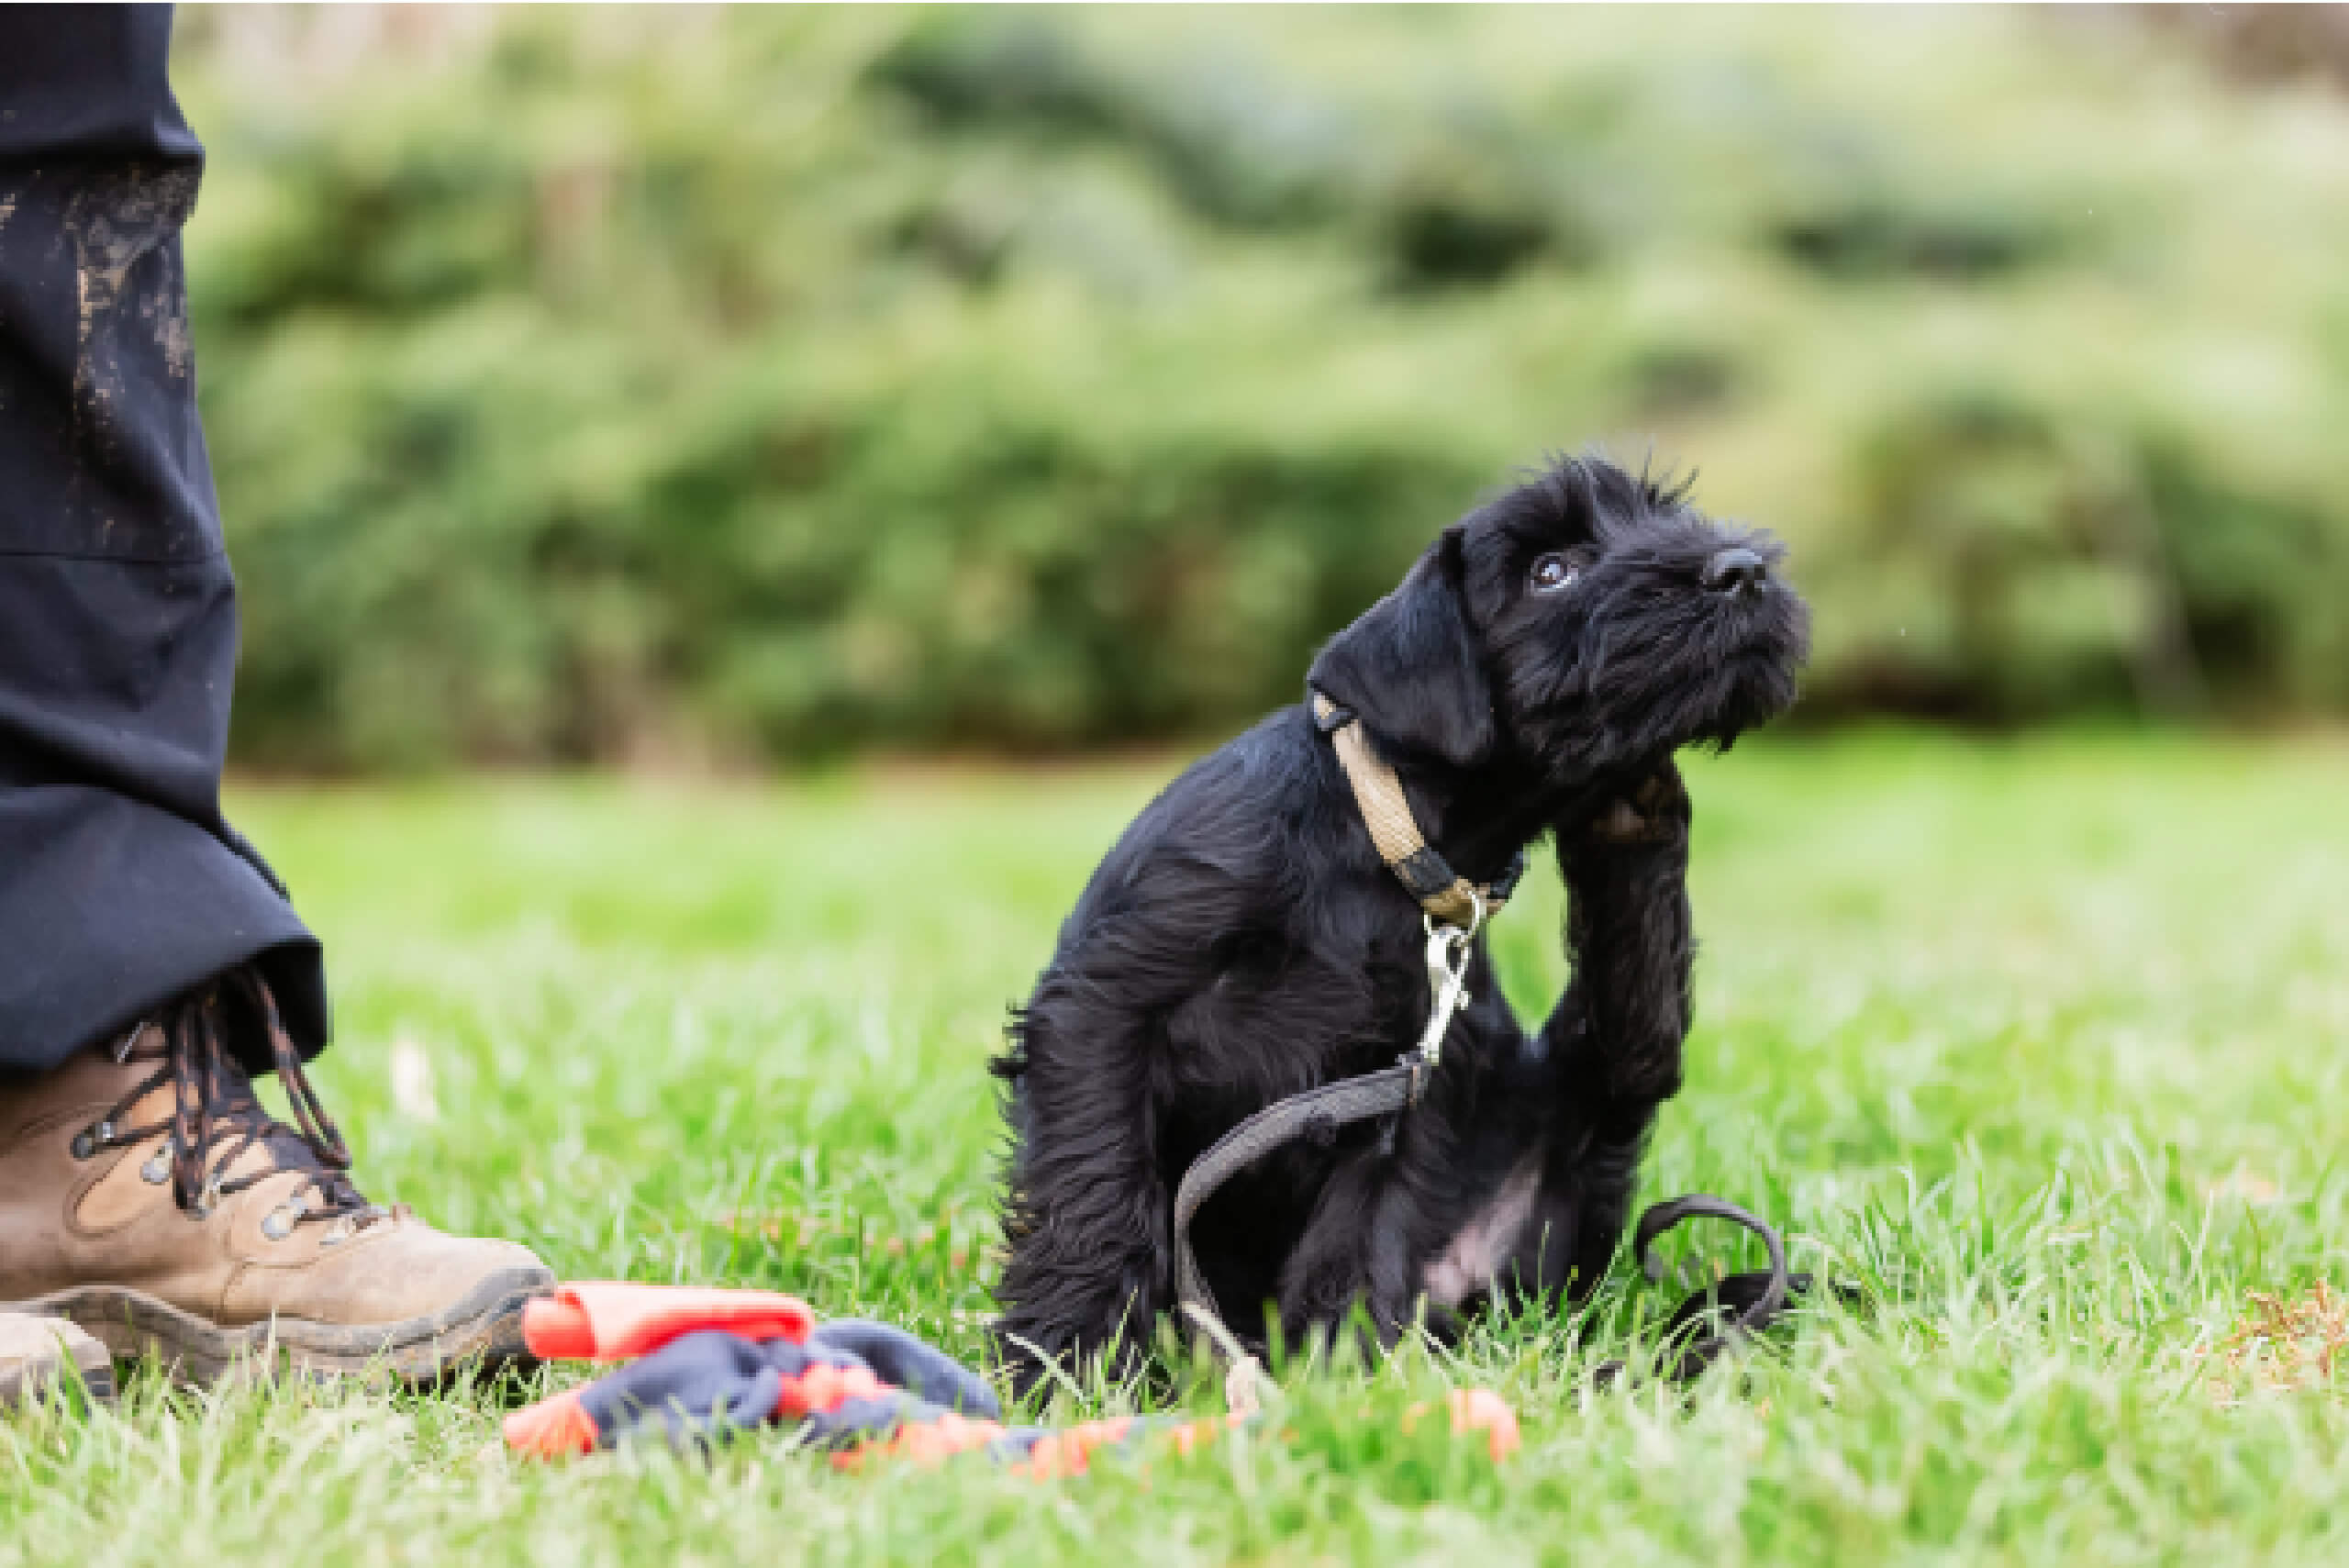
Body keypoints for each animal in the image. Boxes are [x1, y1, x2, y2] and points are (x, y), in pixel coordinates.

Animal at [982, 455, 1804, 1398]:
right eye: (1549, 570)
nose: (1743, 569)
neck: (1376, 842)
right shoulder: (1107, 1003)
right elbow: (1096, 1186)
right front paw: (1069, 1362)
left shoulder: (1414, 1082)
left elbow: (1361, 1230)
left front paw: (1329, 1376)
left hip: (1572, 1135)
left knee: (1632, 1042)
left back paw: (1634, 811)